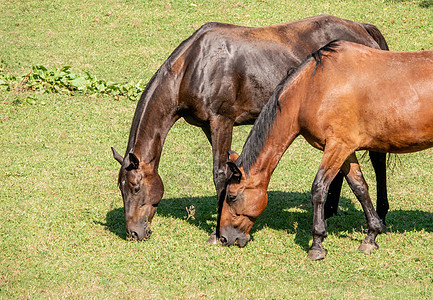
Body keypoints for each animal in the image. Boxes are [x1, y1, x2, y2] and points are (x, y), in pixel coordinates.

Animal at [110, 15, 388, 243]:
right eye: (121, 189)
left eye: (135, 188)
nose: (134, 233)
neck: (194, 65)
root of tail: (363, 28)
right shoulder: (208, 126)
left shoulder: (222, 121)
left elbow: (220, 173)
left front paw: (216, 233)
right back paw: (330, 210)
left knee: (378, 159)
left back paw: (381, 215)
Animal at [219, 40, 432, 260]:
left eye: (231, 196)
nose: (224, 238)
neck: (313, 88)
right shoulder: (346, 150)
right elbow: (360, 187)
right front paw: (371, 235)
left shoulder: (337, 146)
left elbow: (319, 188)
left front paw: (317, 243)